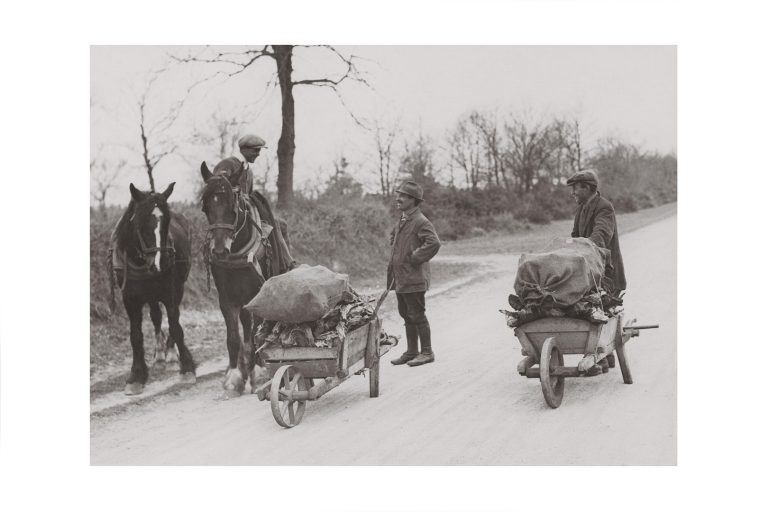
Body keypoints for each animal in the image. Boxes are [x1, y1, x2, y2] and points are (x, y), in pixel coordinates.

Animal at [111, 184, 196, 396]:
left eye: (167, 221)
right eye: (140, 222)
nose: (161, 262)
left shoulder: (170, 292)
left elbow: (175, 325)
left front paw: (187, 367)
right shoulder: (130, 299)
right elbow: (135, 335)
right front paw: (136, 376)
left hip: (178, 287)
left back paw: (171, 353)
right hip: (149, 295)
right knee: (156, 316)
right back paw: (159, 353)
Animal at [198, 159, 294, 396]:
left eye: (233, 206)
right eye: (206, 207)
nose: (219, 250)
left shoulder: (260, 294)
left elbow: (256, 334)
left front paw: (257, 373)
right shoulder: (227, 299)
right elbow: (233, 338)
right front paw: (234, 376)